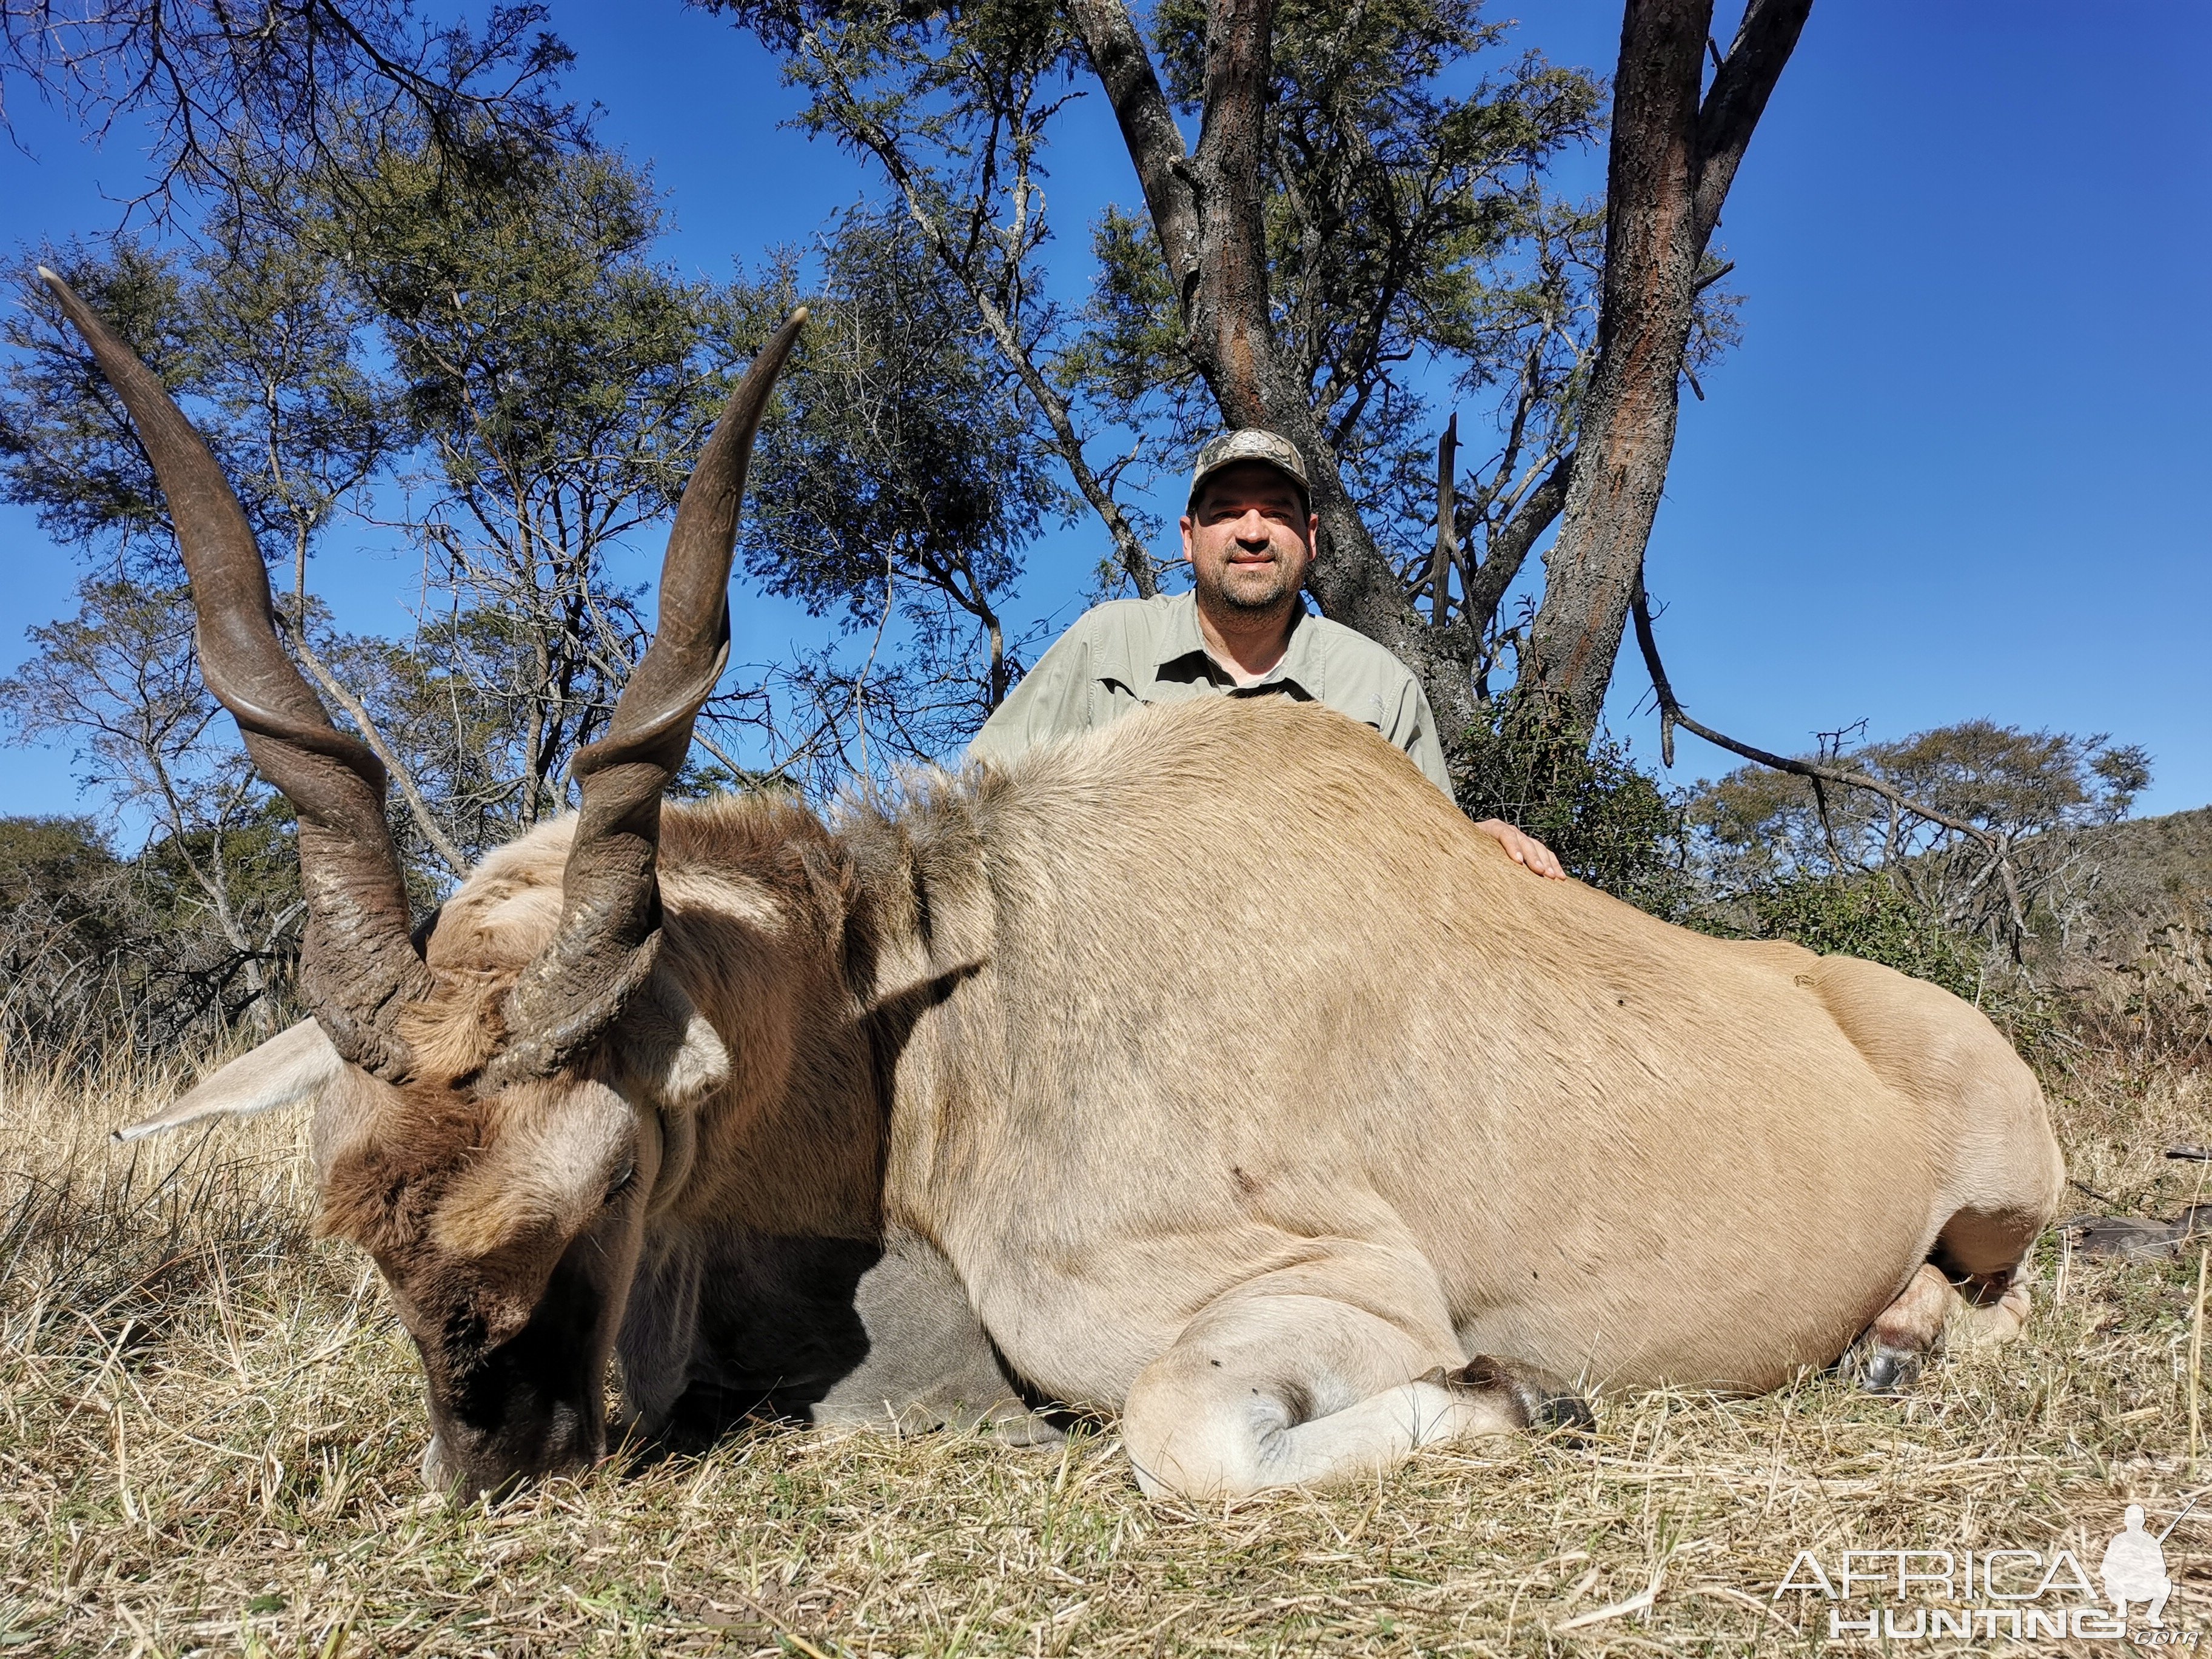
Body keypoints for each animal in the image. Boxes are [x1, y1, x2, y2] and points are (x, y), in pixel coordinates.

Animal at [47, 276, 2053, 1504]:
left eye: (613, 1178)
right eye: (356, 1217)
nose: (501, 1464)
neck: (972, 1016)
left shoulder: (1344, 1292)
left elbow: (1182, 1431)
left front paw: (1525, 1393)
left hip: (2004, 1205)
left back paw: (1893, 1342)